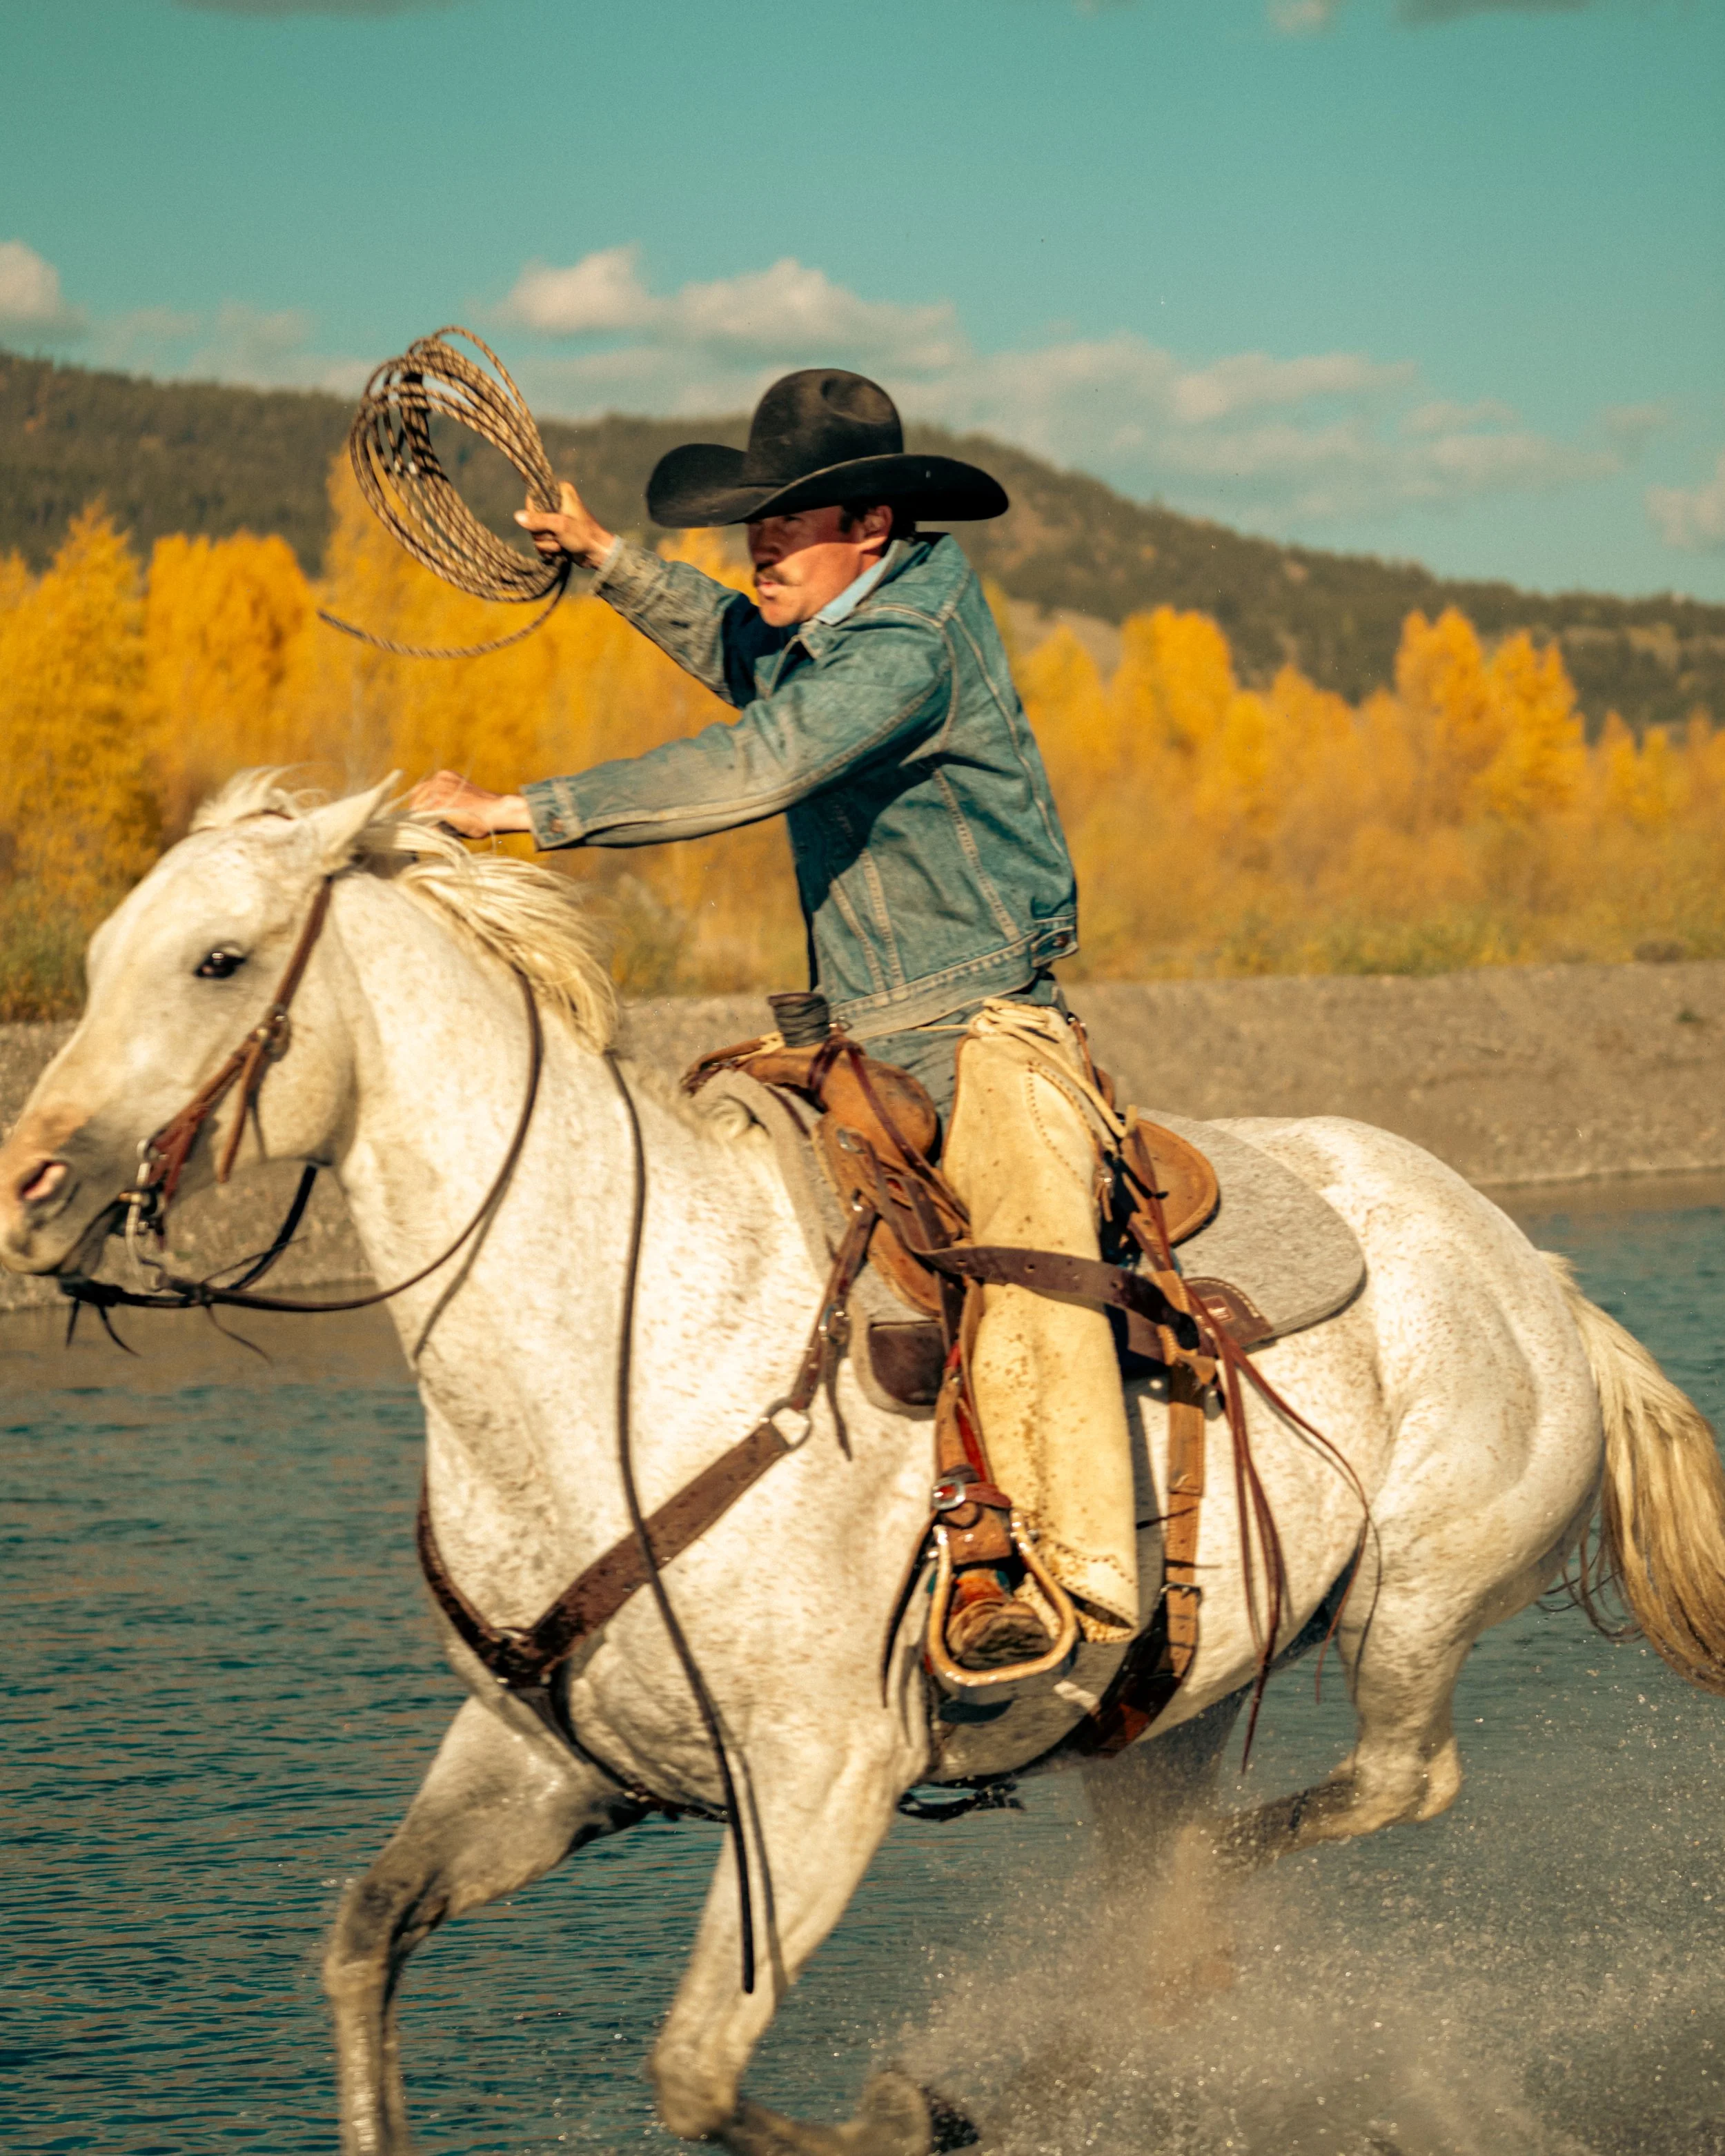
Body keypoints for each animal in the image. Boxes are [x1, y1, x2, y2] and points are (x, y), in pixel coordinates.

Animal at [4, 773, 1724, 2156]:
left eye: (220, 959)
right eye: (98, 956)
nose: (31, 1180)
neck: (619, 1347)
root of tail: (1536, 1268)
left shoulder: (820, 1777)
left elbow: (697, 2065)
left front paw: (912, 2107)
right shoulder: (541, 1755)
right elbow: (365, 1936)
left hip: (1413, 1605)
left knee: (1380, 1786)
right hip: (1159, 1710)